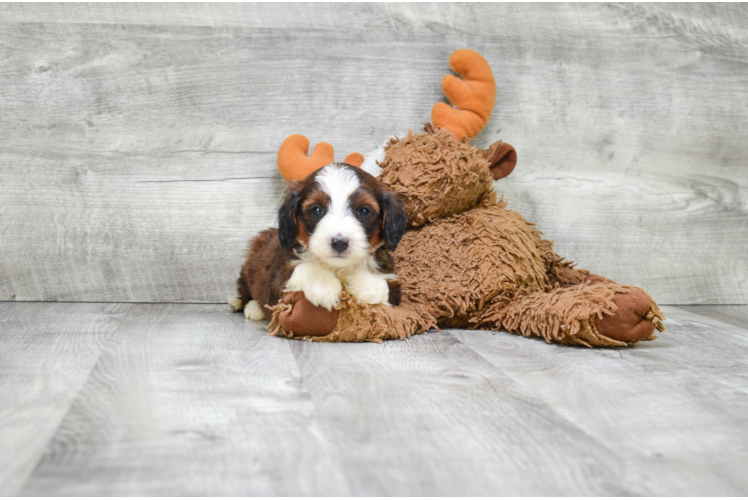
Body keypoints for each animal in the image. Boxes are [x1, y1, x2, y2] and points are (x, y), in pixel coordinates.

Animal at [229, 162, 410, 322]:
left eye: (363, 211)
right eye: (317, 210)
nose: (339, 242)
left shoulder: (394, 285)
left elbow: (383, 286)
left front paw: (363, 282)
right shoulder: (276, 284)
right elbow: (300, 268)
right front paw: (323, 285)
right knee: (245, 289)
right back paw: (252, 307)